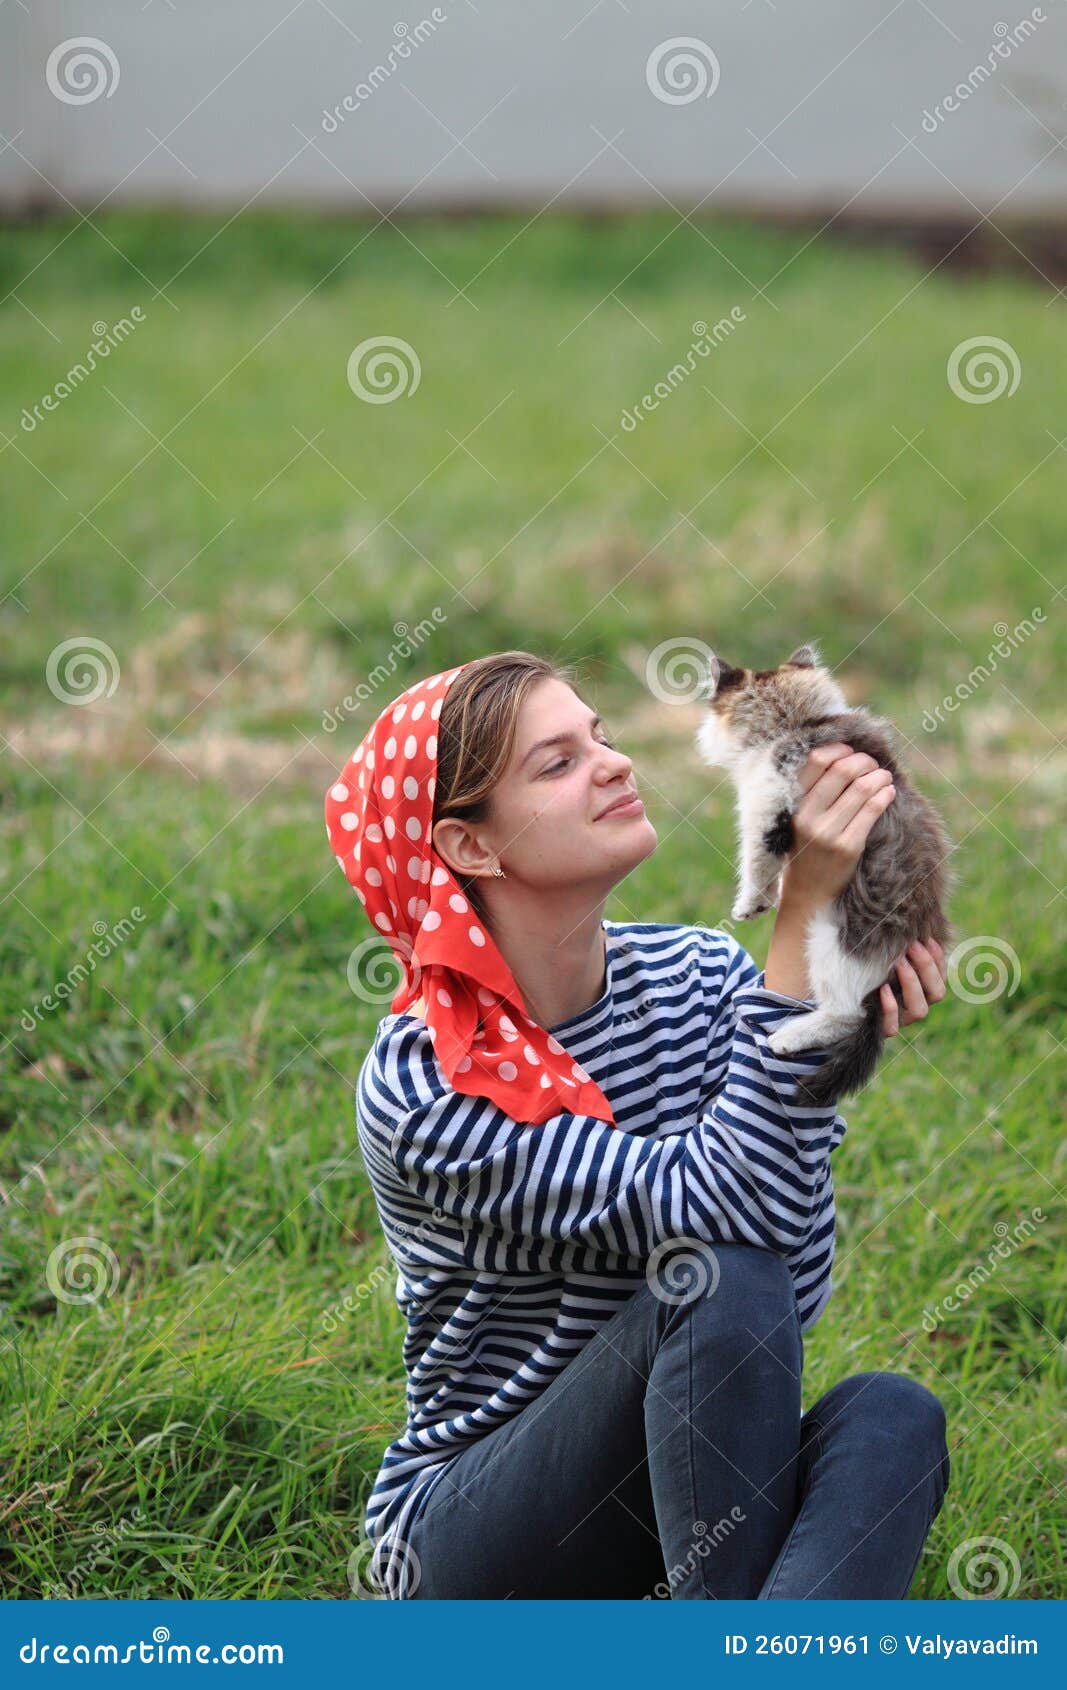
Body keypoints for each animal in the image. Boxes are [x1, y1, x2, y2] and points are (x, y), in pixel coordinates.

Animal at [696, 642, 953, 1108]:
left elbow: (756, 858)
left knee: (846, 1014)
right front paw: (769, 897)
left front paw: (751, 902)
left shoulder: (766, 799)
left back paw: (791, 1035)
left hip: (833, 938)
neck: (796, 721)